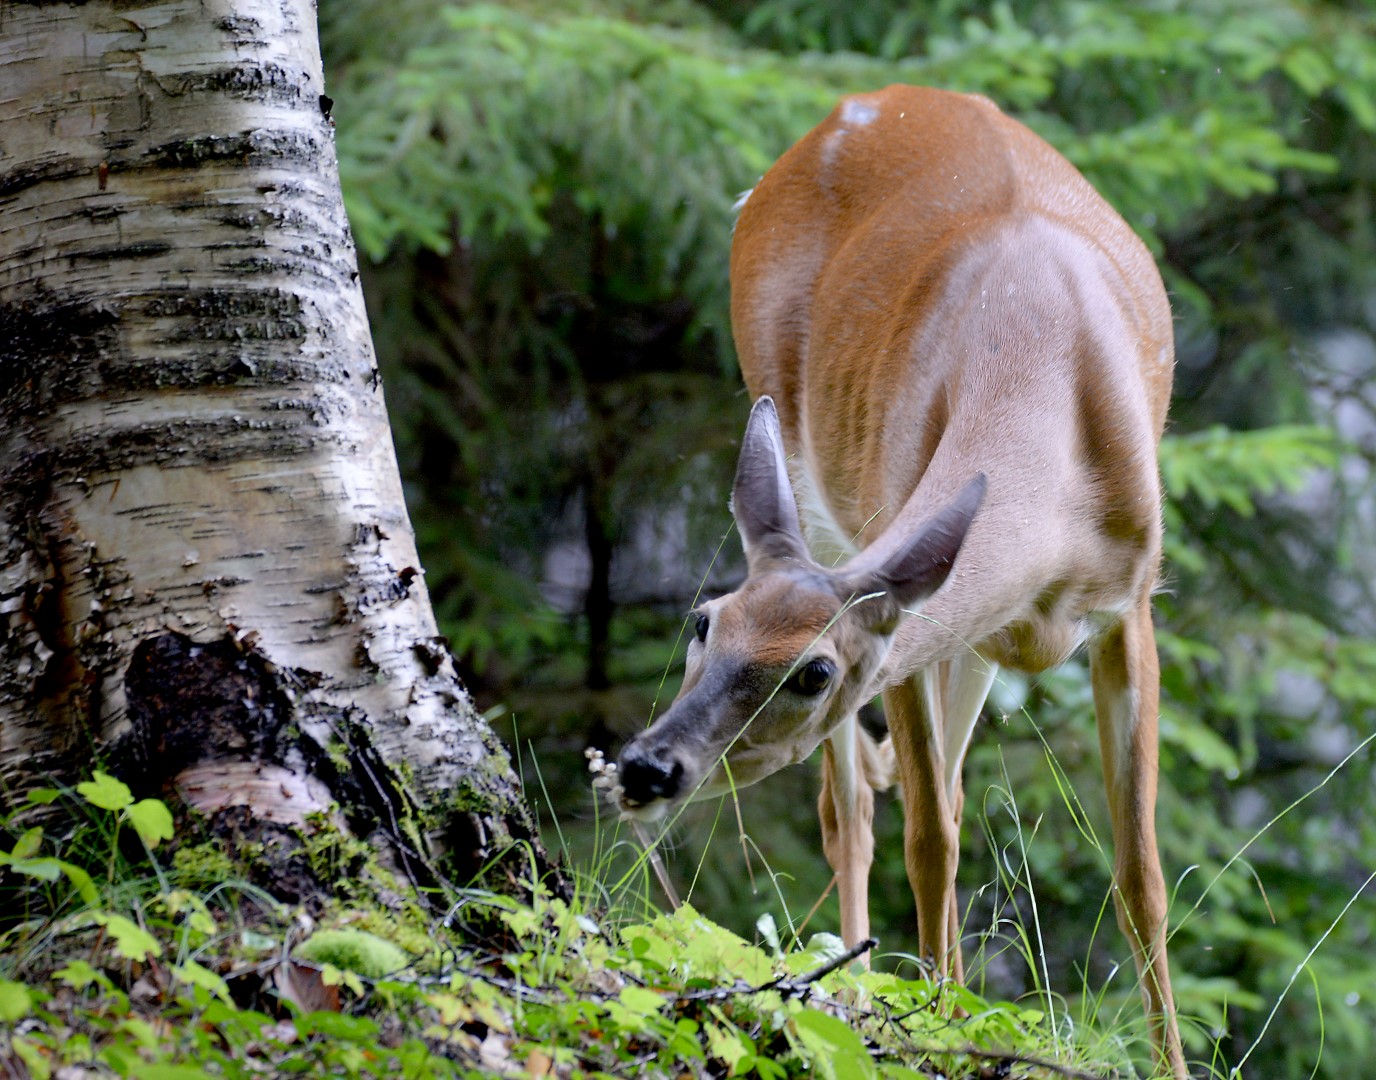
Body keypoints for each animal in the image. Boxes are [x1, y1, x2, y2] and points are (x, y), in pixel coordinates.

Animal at [613, 85, 1186, 1076]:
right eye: (704, 622)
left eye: (813, 672)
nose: (648, 766)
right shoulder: (897, 581)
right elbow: (930, 841)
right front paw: (943, 1025)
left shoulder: (1130, 601)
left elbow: (1140, 875)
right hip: (813, 468)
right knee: (853, 809)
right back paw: (854, 988)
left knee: (933, 786)